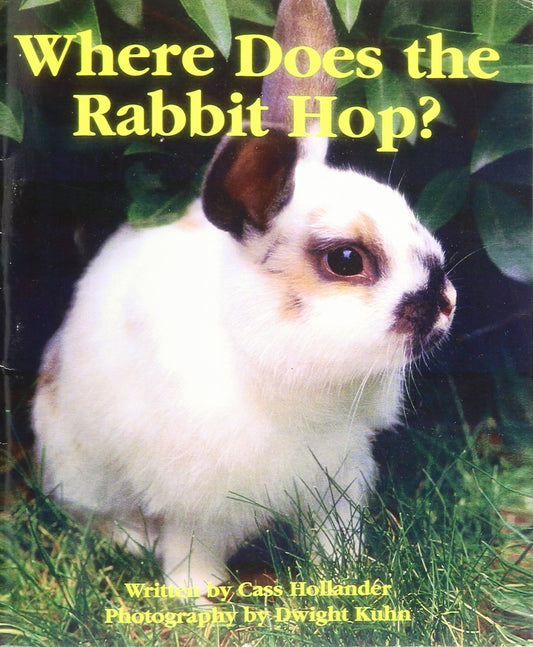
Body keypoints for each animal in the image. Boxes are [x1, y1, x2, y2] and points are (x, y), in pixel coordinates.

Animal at [32, 0, 456, 593]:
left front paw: (345, 576)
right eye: (346, 260)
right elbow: (190, 549)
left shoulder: (337, 478)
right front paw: (196, 598)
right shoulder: (195, 495)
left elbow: (334, 537)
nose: (445, 303)